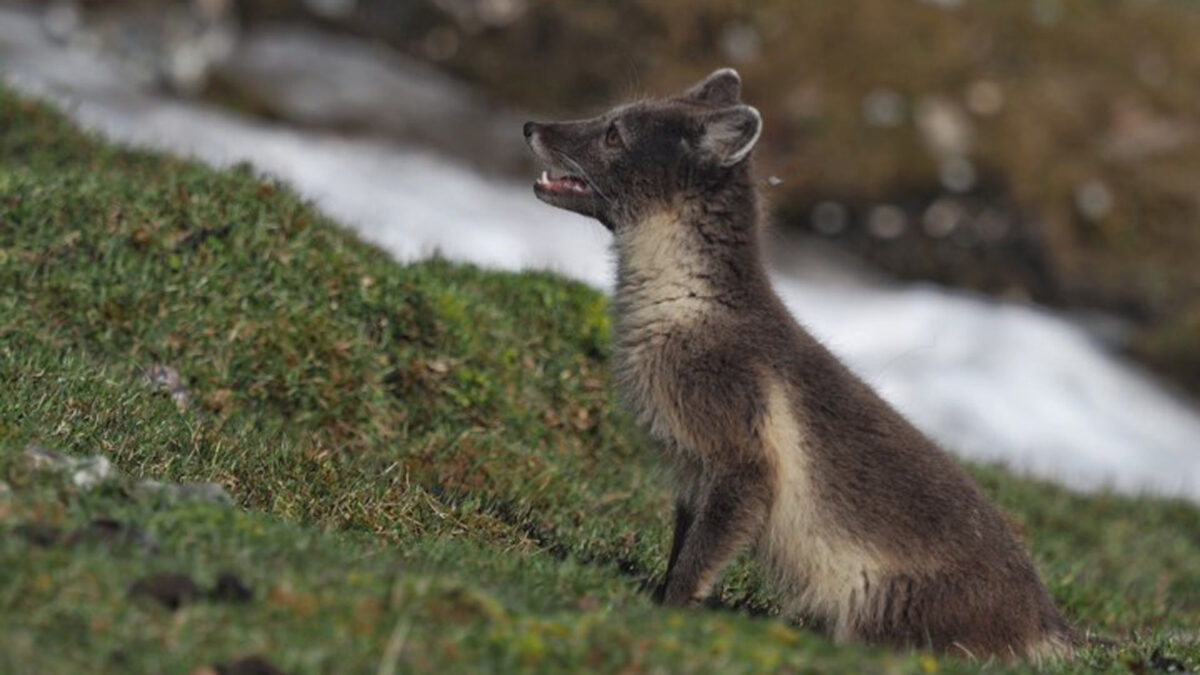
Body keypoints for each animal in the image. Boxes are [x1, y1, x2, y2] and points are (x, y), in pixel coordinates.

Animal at [523, 69, 1080, 662]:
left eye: (615, 133)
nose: (531, 125)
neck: (688, 310)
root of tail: (1045, 620)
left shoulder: (743, 457)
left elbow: (699, 560)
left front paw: (668, 610)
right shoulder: (694, 473)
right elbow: (683, 546)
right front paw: (656, 592)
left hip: (882, 607)